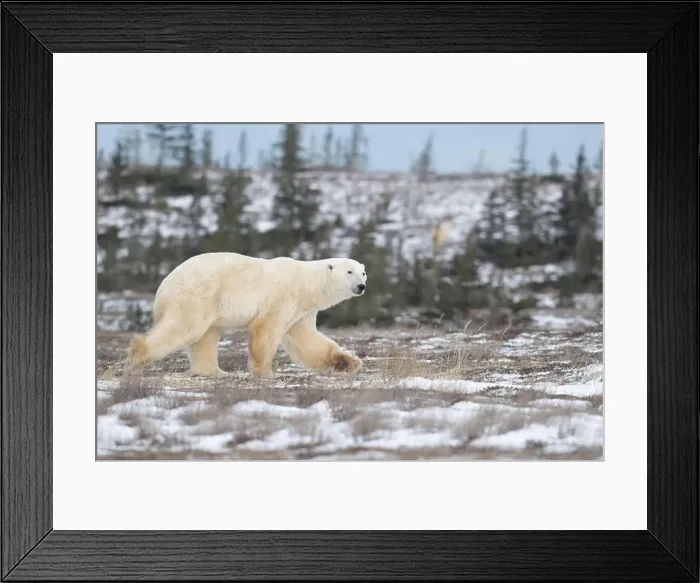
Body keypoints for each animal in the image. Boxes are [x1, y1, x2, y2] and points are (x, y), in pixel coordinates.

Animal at [124, 252, 367, 378]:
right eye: (349, 272)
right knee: (186, 328)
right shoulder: (283, 297)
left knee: (206, 338)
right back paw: (139, 354)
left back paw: (216, 372)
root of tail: (164, 284)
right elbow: (266, 329)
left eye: (363, 272)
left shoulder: (302, 310)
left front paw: (348, 362)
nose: (361, 286)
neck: (306, 282)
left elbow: (307, 340)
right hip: (197, 295)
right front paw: (264, 372)